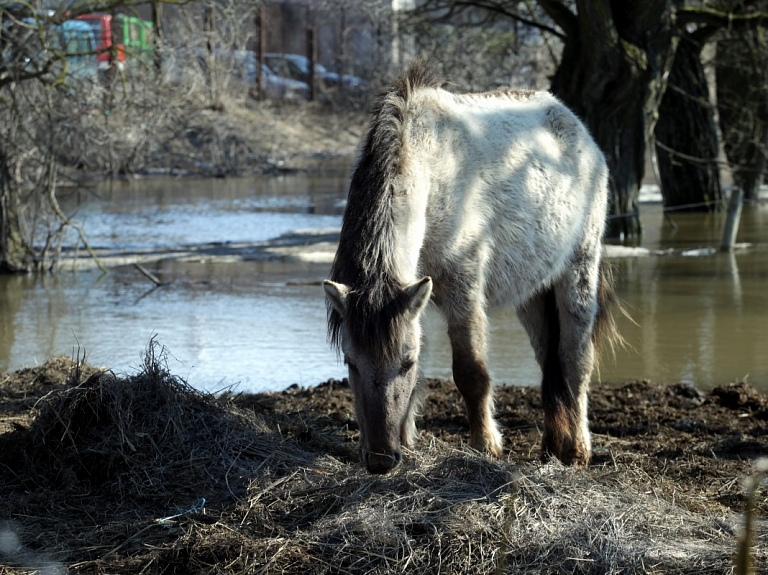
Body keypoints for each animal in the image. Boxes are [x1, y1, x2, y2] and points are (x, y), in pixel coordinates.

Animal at [324, 58, 616, 474]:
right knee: (550, 360)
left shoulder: (465, 290)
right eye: (350, 362)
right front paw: (408, 441)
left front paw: (486, 448)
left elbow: (470, 372)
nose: (380, 459)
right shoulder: (416, 298)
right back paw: (552, 448)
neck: (431, 169)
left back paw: (577, 451)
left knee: (575, 360)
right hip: (532, 293)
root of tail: (573, 124)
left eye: (405, 363)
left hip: (578, 271)